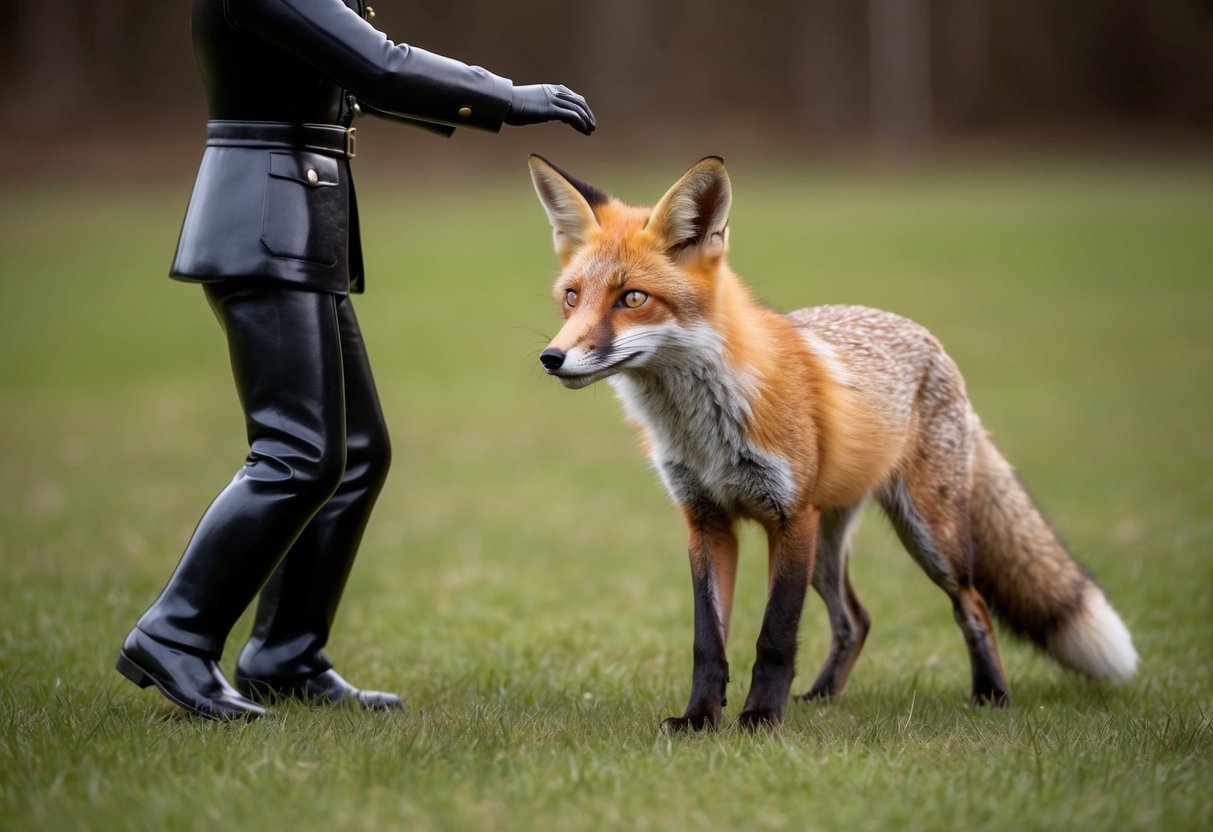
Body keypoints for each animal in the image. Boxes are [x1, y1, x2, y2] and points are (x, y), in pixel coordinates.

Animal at [527, 155, 1138, 731]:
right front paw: (700, 719)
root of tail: (931, 341)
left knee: (974, 604)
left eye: (632, 298)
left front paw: (760, 720)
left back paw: (991, 695)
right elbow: (709, 641)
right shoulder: (706, 520)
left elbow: (775, 636)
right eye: (572, 297)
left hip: (925, 535)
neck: (704, 426)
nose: (551, 358)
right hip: (827, 545)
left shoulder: (789, 516)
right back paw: (823, 696)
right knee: (856, 619)